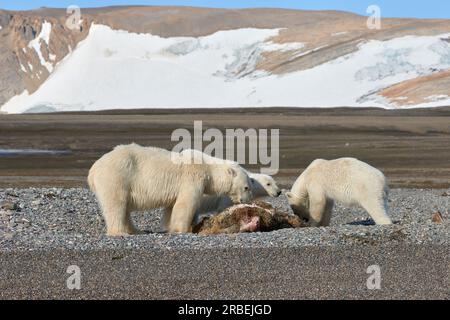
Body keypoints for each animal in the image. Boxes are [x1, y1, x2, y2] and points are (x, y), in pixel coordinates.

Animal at [88, 144, 253, 235]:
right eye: (246, 187)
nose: (247, 201)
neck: (208, 167)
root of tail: (93, 169)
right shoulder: (192, 177)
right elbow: (185, 203)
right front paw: (184, 229)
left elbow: (171, 207)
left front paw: (170, 227)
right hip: (117, 177)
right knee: (117, 205)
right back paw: (120, 232)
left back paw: (135, 230)